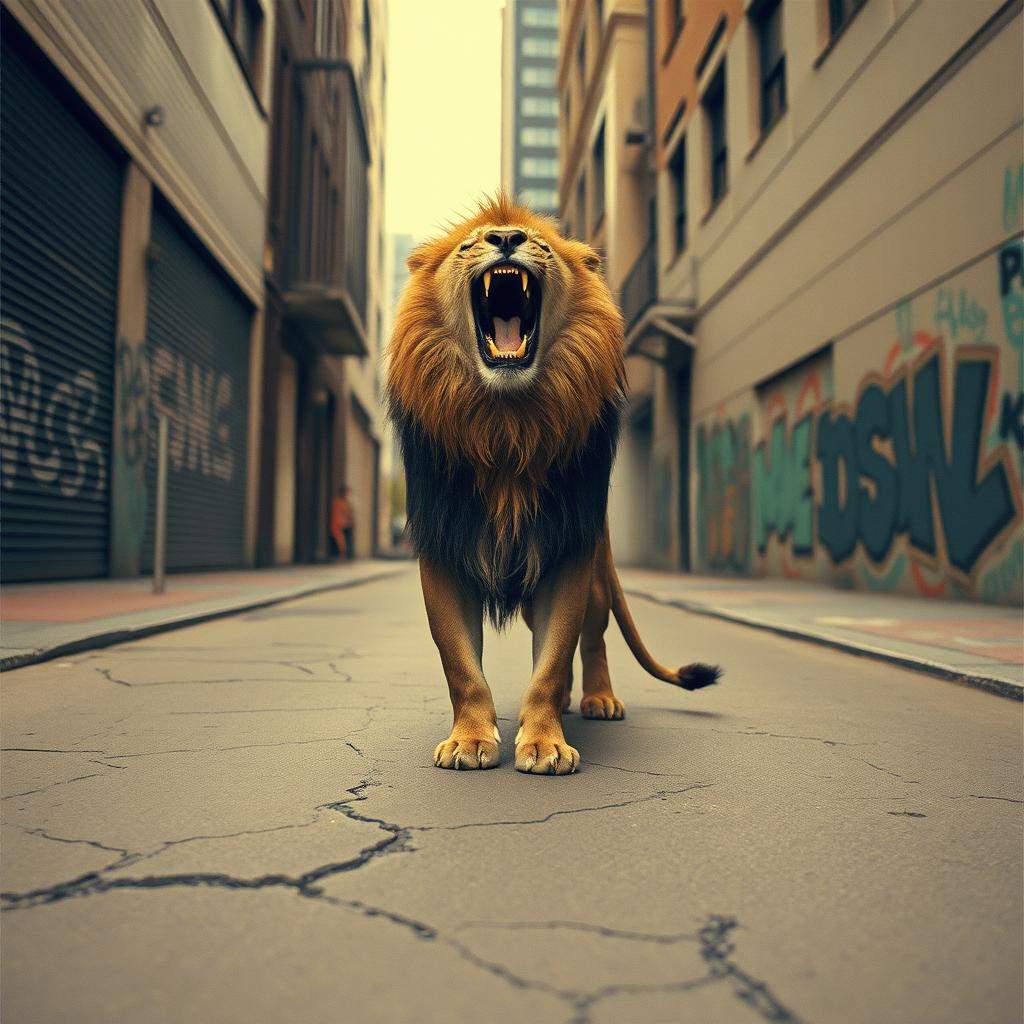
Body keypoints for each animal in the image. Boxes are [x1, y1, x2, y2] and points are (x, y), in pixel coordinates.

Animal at [386, 192, 719, 775]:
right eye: (470, 245)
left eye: (537, 242)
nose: (505, 239)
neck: (505, 426)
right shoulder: (445, 549)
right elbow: (462, 666)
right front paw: (471, 739)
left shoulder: (567, 553)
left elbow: (554, 657)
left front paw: (544, 743)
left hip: (596, 570)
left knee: (594, 640)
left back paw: (597, 700)